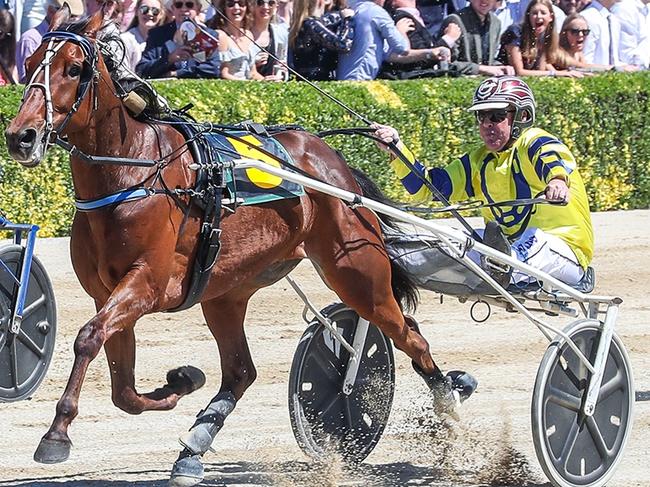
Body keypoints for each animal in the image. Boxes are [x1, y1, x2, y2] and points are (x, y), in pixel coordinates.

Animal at [6, 7, 466, 487]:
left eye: (74, 68)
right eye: (30, 61)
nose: (21, 136)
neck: (135, 172)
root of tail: (335, 166)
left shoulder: (146, 285)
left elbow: (88, 338)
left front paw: (56, 435)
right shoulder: (106, 293)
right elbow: (123, 390)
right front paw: (181, 382)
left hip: (358, 273)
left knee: (411, 337)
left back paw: (449, 407)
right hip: (226, 290)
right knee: (242, 370)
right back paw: (192, 450)